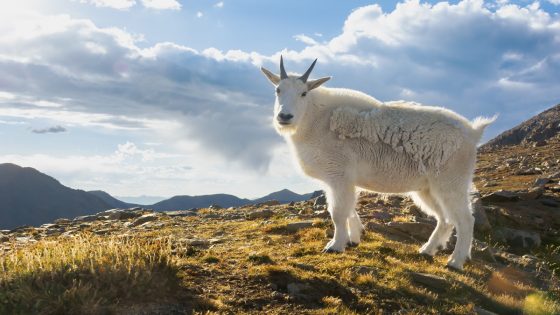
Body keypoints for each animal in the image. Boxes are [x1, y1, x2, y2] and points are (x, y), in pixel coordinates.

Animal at [260, 57, 492, 272]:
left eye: (303, 93)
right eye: (278, 90)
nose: (284, 116)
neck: (315, 119)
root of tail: (472, 133)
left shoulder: (339, 176)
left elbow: (338, 212)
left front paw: (335, 246)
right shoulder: (338, 181)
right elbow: (349, 210)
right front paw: (353, 239)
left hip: (451, 182)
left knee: (465, 220)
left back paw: (455, 262)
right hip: (427, 189)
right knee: (445, 218)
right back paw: (427, 250)